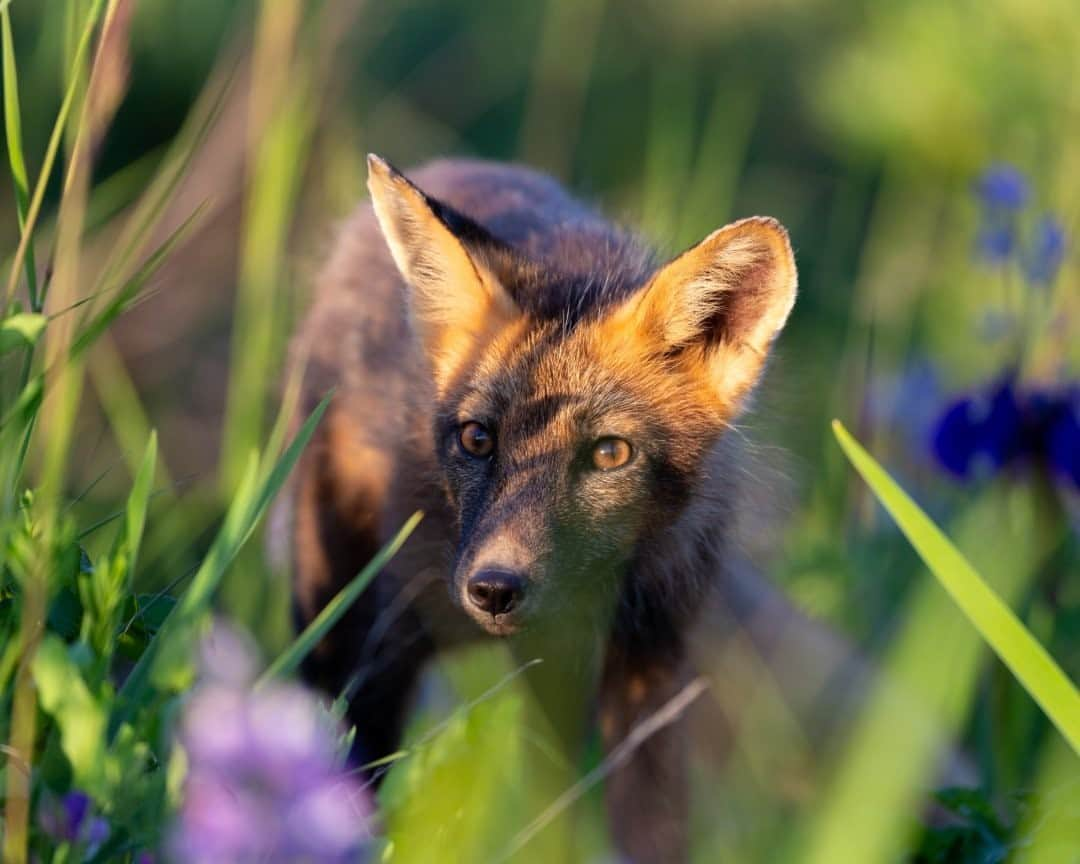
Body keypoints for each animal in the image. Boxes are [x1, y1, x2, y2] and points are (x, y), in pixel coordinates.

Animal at [282, 156, 864, 864]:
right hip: (329, 606)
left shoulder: (645, 663)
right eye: (477, 439)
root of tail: (455, 164)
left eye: (610, 453)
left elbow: (643, 829)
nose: (492, 589)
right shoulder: (386, 642)